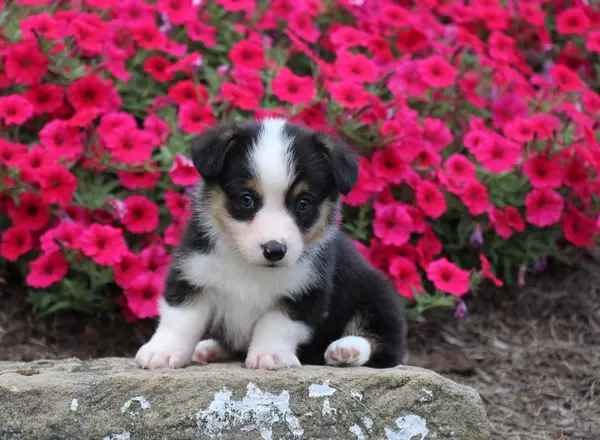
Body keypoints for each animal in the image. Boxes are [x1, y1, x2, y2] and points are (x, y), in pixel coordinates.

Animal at [135, 118, 406, 370]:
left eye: (303, 203)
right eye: (246, 199)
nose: (274, 250)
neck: (248, 266)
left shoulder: (304, 292)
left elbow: (276, 325)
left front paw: (270, 355)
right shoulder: (193, 274)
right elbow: (180, 319)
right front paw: (162, 352)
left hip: (378, 294)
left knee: (384, 344)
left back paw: (347, 349)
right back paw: (209, 349)